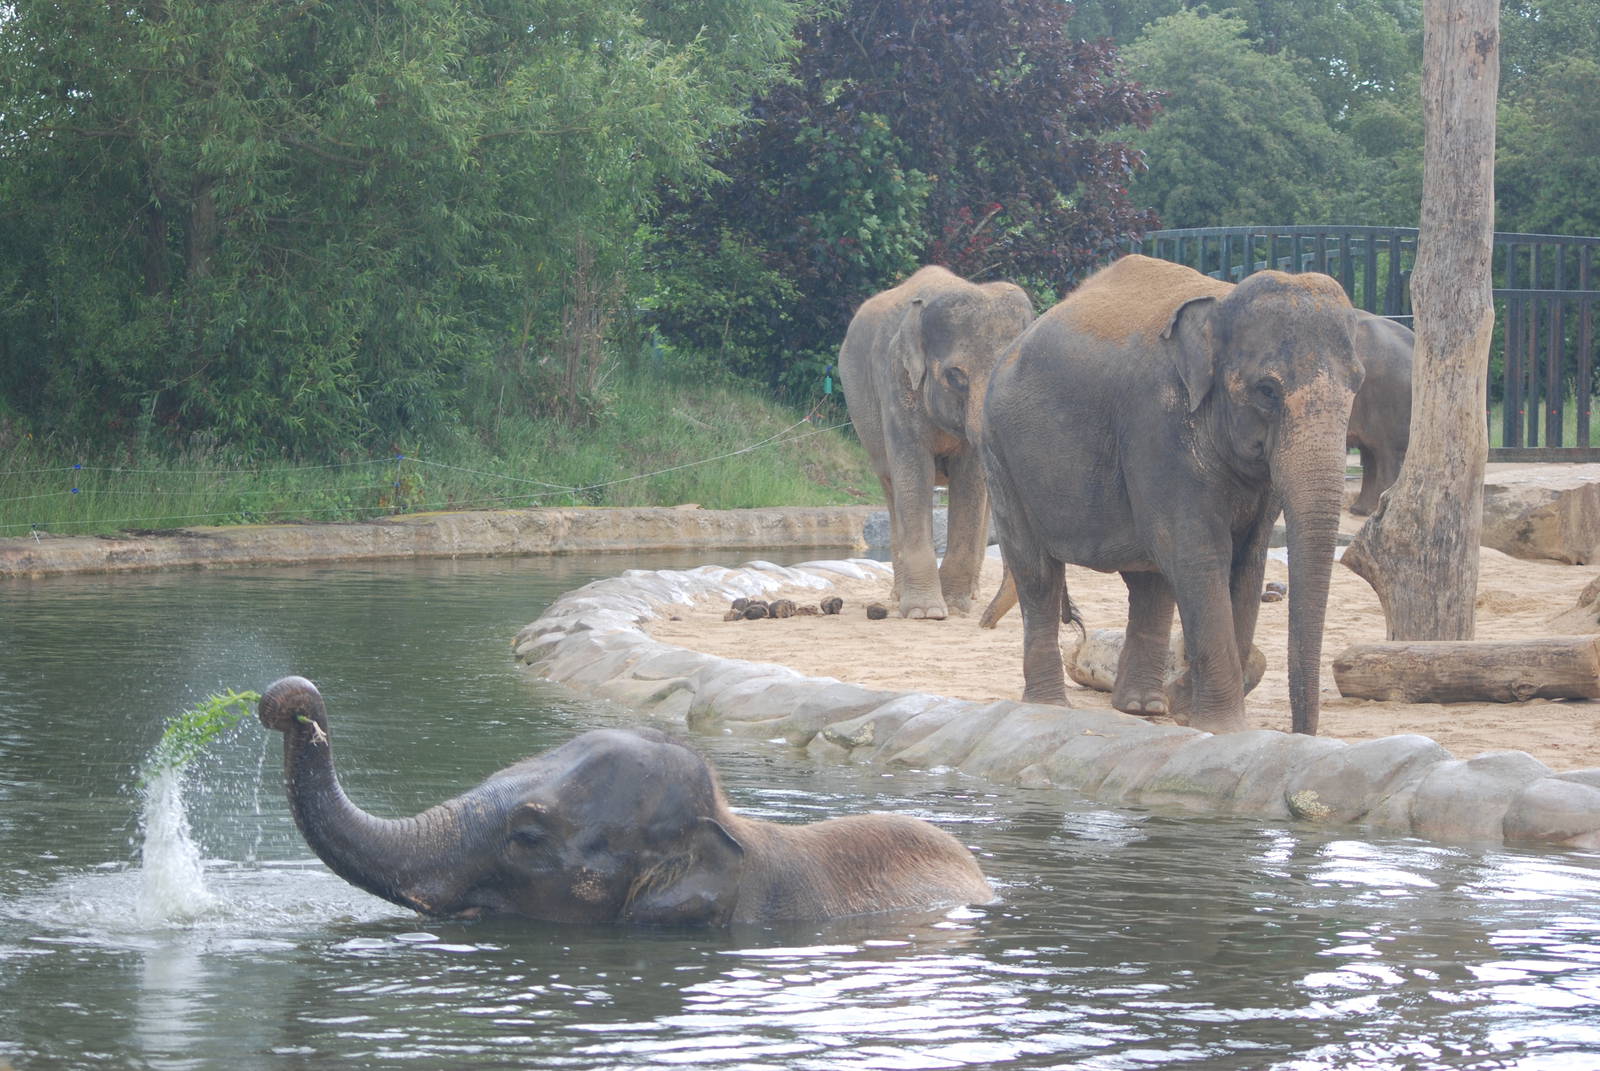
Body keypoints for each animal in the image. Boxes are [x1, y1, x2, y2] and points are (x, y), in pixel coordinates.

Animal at [840, 265, 1034, 619]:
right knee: (891, 489)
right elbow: (914, 474)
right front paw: (926, 612)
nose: (986, 623)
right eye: (956, 375)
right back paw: (899, 597)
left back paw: (971, 596)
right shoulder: (896, 382)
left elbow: (970, 481)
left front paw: (955, 607)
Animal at [980, 254, 1365, 736]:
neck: (1221, 303)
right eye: (1267, 390)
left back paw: (1141, 708)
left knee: (1149, 582)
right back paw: (1051, 707)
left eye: (1358, 385)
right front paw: (1221, 727)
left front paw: (1188, 710)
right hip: (1000, 454)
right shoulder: (1157, 427)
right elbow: (1198, 554)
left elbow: (1248, 561)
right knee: (1037, 573)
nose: (1298, 732)